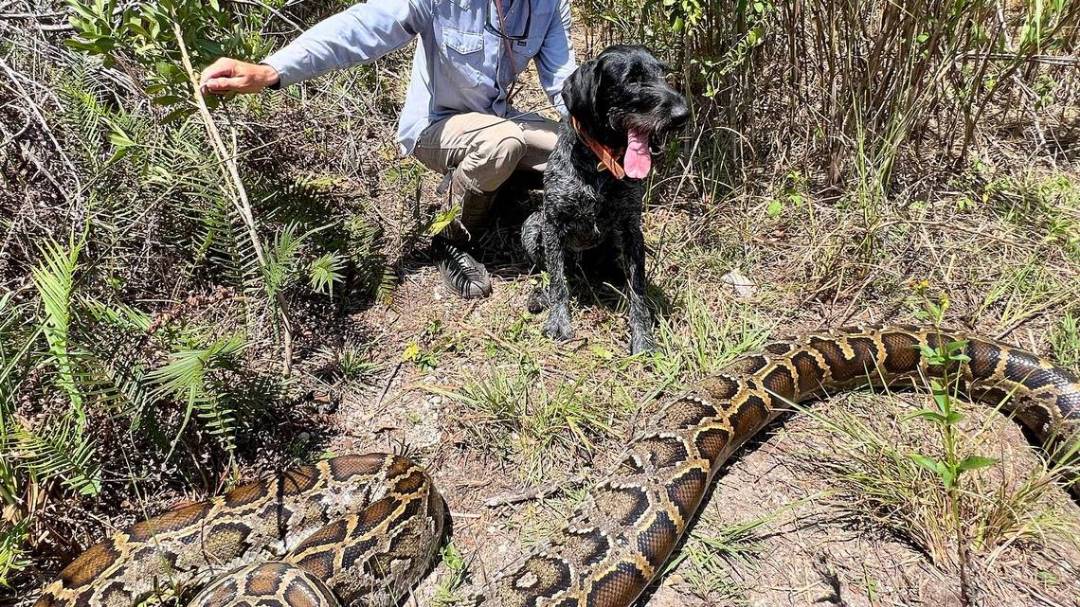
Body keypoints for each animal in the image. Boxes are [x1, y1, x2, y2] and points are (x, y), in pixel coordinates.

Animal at [524, 46, 691, 354]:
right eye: (633, 78)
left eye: (663, 73)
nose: (682, 114)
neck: (602, 162)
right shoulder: (552, 223)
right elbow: (557, 281)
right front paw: (559, 320)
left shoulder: (632, 231)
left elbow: (638, 289)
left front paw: (642, 335)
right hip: (532, 226)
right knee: (554, 273)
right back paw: (540, 294)